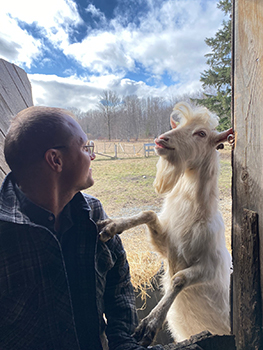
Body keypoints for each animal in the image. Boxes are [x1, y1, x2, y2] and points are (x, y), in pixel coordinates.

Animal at [98, 102, 233, 346]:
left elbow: (178, 279)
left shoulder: (210, 266)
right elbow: (149, 213)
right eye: (177, 125)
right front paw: (112, 226)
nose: (161, 139)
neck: (195, 213)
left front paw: (149, 326)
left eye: (201, 133)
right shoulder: (167, 246)